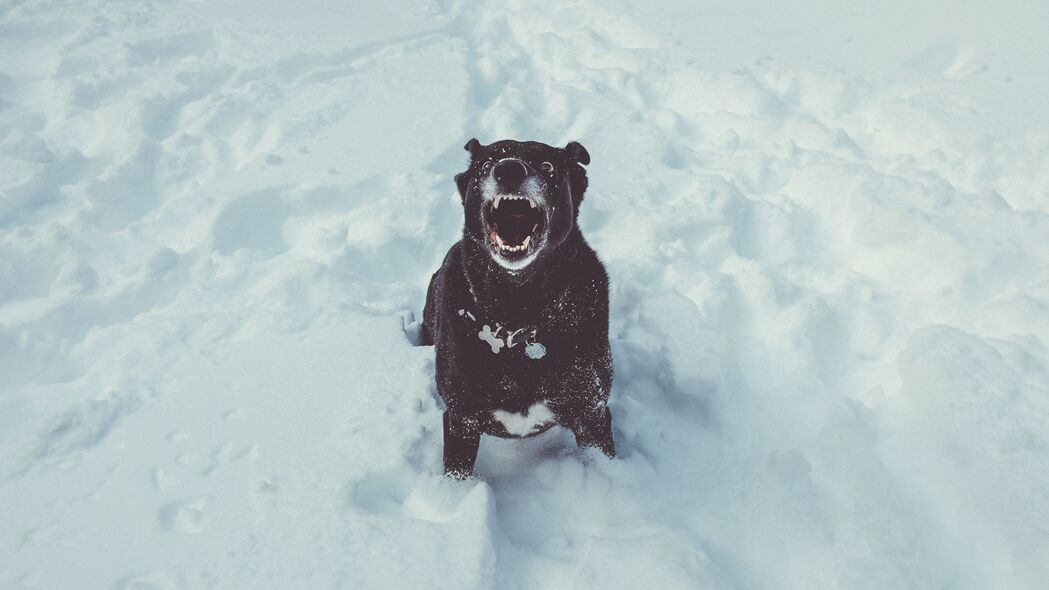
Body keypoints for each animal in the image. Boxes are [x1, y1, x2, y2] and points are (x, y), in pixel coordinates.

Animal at [419, 138, 612, 478]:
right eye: (485, 165)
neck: (517, 307)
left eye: (548, 166)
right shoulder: (461, 419)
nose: (508, 169)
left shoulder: (593, 411)